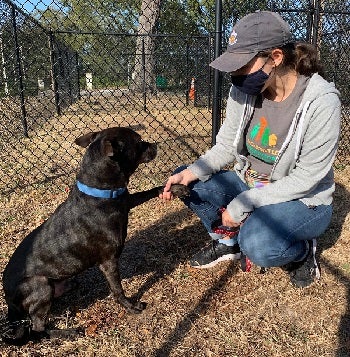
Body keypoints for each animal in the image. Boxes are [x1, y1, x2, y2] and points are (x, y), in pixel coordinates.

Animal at [1, 126, 190, 344]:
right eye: (139, 141)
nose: (155, 145)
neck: (100, 193)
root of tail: (8, 302)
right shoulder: (109, 261)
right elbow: (117, 290)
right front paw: (131, 307)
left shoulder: (126, 200)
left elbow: (152, 189)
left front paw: (177, 188)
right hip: (40, 284)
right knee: (37, 330)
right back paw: (68, 332)